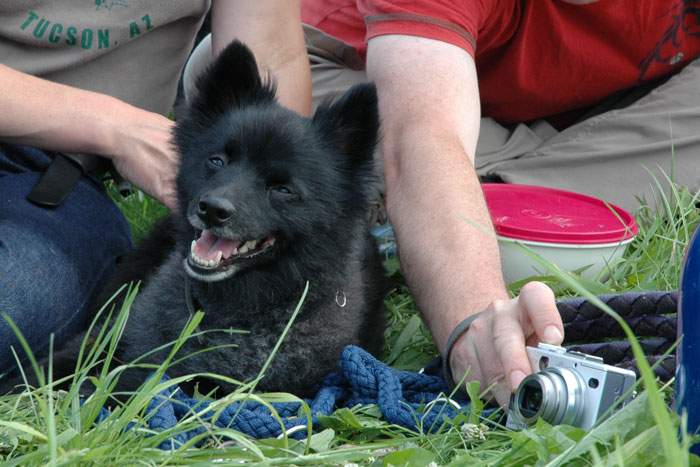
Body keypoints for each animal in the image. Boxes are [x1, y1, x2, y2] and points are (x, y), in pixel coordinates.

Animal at [1, 41, 382, 398]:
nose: (212, 209)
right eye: (217, 161)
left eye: (283, 189)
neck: (224, 320)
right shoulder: (118, 333)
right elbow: (57, 363)